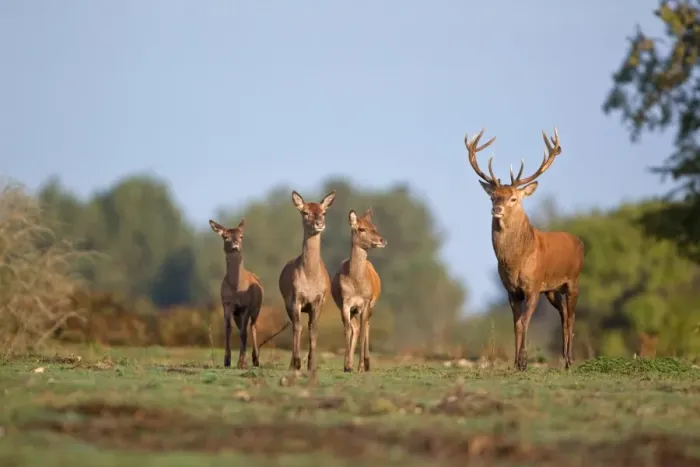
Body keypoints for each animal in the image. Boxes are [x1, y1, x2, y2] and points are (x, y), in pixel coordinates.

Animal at [209, 218, 264, 369]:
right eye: (225, 237)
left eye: (241, 236)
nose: (235, 244)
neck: (237, 288)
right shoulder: (227, 303)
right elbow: (228, 329)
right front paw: (227, 360)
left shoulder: (246, 305)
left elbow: (244, 332)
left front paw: (242, 363)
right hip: (237, 314)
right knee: (242, 328)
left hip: (257, 308)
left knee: (252, 327)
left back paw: (256, 359)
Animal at [278, 190, 336, 371]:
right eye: (305, 212)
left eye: (324, 212)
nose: (319, 224)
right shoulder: (296, 299)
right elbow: (298, 327)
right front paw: (296, 363)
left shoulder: (319, 301)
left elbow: (314, 329)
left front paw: (312, 365)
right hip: (287, 304)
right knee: (294, 327)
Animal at [331, 208, 387, 372]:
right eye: (361, 228)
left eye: (374, 226)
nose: (382, 240)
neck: (356, 284)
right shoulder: (345, 303)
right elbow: (348, 330)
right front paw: (347, 365)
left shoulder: (366, 302)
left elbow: (362, 332)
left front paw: (360, 366)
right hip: (353, 310)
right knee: (355, 328)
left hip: (371, 306)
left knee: (366, 326)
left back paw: (367, 363)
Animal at [464, 128, 585, 371]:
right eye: (493, 197)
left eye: (513, 198)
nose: (497, 210)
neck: (516, 262)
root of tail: (580, 242)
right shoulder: (511, 291)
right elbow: (517, 324)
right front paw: (516, 362)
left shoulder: (533, 286)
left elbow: (525, 320)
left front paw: (523, 360)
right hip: (551, 290)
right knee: (563, 314)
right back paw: (563, 358)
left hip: (573, 280)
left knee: (571, 316)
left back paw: (569, 360)